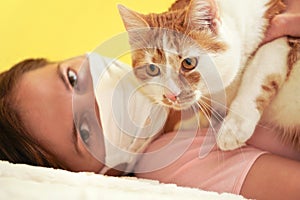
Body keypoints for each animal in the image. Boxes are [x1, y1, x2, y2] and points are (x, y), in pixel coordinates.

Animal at [117, 0, 300, 150]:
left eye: (188, 63)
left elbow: (258, 68)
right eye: (152, 69)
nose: (170, 95)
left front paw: (234, 127)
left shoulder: (284, 36)